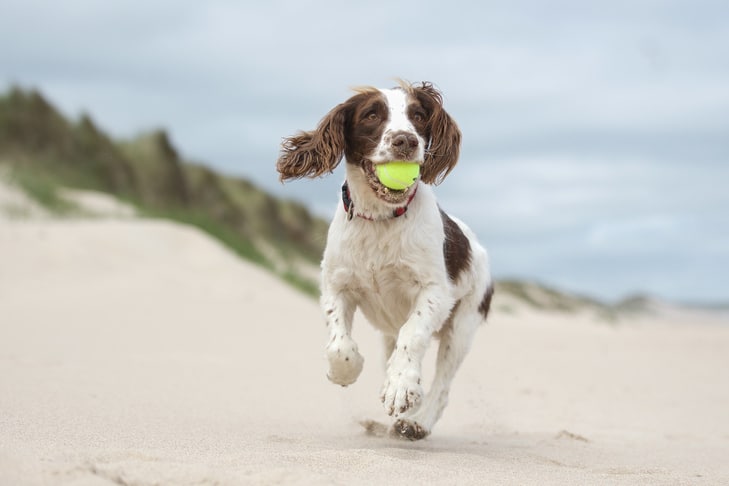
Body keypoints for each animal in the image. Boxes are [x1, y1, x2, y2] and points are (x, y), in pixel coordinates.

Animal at [276, 80, 492, 440]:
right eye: (371, 115)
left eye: (418, 116)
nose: (406, 141)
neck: (380, 219)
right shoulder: (335, 284)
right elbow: (338, 343)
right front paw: (346, 372)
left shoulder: (435, 291)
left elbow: (413, 332)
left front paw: (401, 387)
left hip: (463, 325)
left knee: (442, 384)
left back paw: (417, 420)